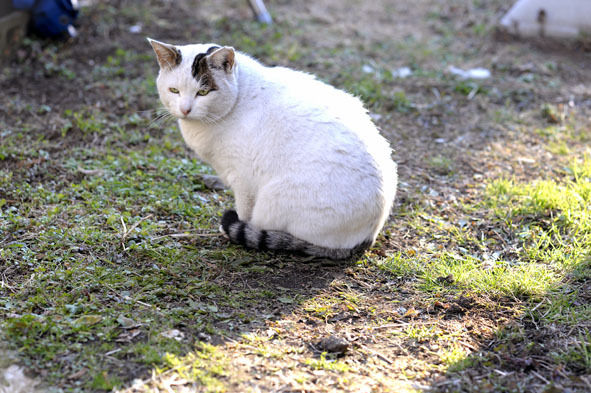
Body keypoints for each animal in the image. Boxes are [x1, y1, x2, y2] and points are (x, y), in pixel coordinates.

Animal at [148, 38, 398, 258]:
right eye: (174, 91)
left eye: (203, 92)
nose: (185, 109)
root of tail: (367, 237)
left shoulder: (244, 180)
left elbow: (243, 211)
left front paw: (235, 227)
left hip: (276, 198)